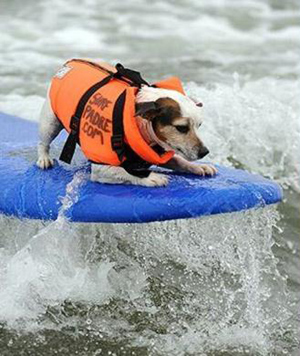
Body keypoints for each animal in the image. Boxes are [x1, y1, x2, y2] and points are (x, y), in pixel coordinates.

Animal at [37, 59, 216, 186]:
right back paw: (44, 158)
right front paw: (150, 177)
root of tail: (69, 63)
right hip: (50, 122)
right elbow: (126, 172)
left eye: (199, 125)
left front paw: (199, 167)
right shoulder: (102, 169)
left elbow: (181, 161)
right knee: (43, 142)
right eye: (181, 128)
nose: (204, 152)